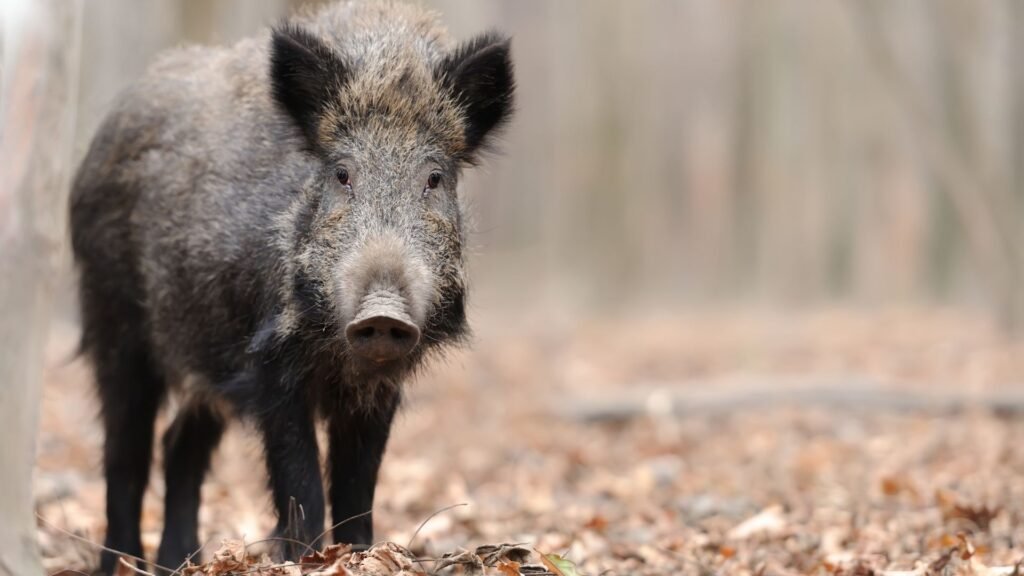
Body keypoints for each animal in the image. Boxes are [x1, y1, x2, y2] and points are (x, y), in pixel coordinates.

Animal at [68, 1, 514, 573]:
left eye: (434, 179)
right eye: (342, 173)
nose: (383, 312)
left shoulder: (378, 386)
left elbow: (357, 483)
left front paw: (359, 554)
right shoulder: (269, 367)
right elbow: (301, 480)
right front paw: (306, 558)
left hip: (204, 355)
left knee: (179, 446)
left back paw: (181, 561)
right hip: (113, 319)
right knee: (125, 453)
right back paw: (122, 562)